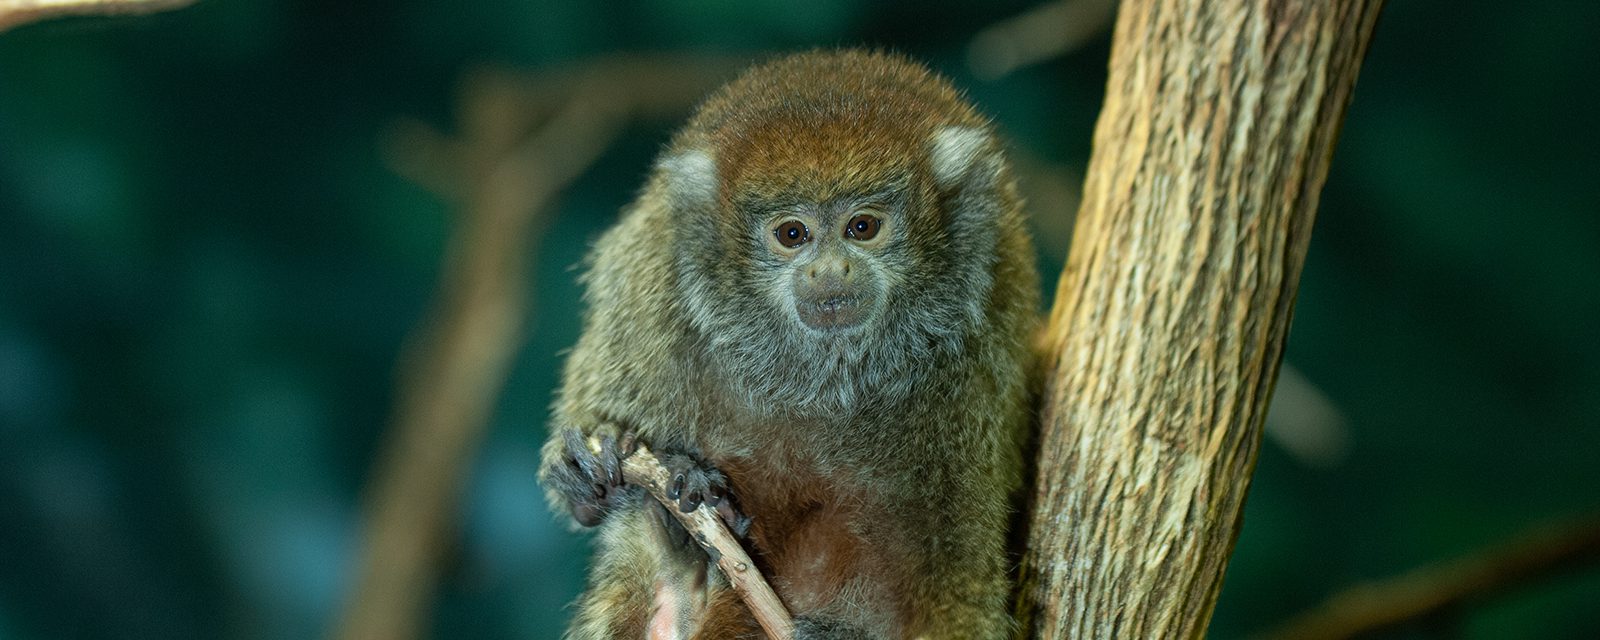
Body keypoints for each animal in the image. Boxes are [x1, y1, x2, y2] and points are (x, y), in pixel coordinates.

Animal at [537, 50, 1036, 640]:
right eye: (792, 234)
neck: (817, 379)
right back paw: (678, 560)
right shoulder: (649, 284)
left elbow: (960, 589)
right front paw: (586, 477)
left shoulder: (980, 354)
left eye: (862, 226)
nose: (830, 272)